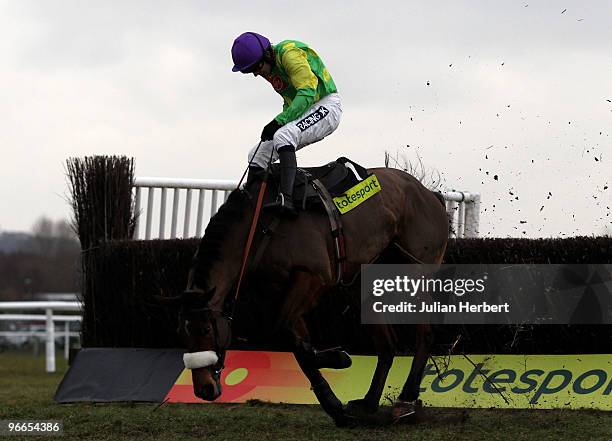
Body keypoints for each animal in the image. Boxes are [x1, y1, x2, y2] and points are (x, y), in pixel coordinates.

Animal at [170, 167, 448, 424]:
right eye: (182, 333)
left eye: (206, 329)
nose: (203, 389)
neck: (258, 226)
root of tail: (428, 194)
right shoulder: (281, 291)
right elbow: (296, 343)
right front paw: (334, 397)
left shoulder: (313, 276)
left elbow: (285, 333)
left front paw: (336, 369)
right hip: (367, 279)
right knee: (387, 344)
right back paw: (368, 402)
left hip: (413, 270)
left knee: (425, 332)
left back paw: (406, 399)